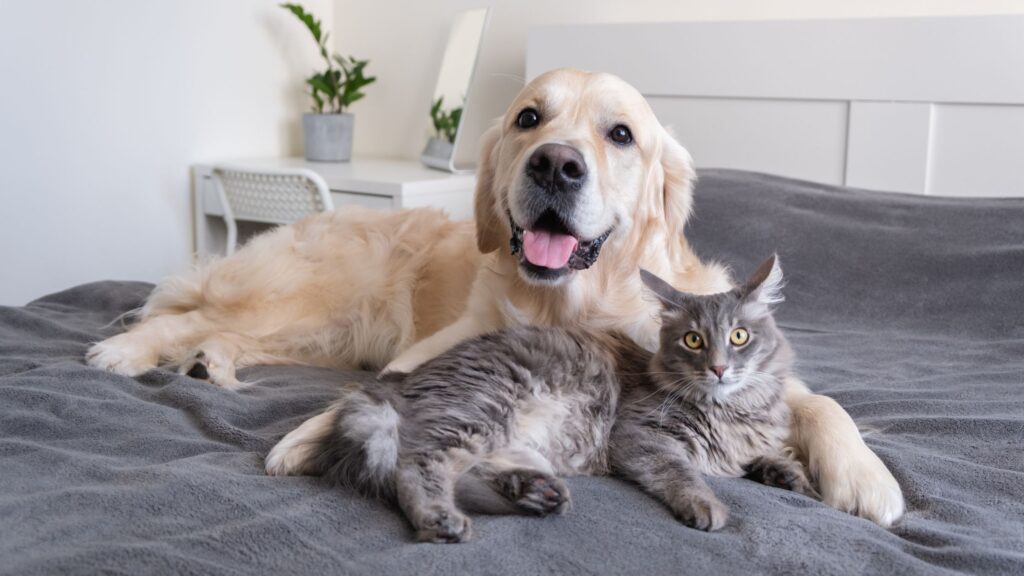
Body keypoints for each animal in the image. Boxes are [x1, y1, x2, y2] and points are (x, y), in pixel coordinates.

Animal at [288, 254, 815, 537]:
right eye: (693, 340)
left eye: (740, 336)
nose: (720, 368)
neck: (732, 410)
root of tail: (394, 381)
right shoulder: (641, 436)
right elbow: (682, 472)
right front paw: (706, 505)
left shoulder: (743, 443)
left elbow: (766, 457)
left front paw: (793, 477)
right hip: (482, 409)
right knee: (415, 467)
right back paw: (443, 520)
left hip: (510, 439)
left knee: (474, 473)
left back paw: (535, 495)